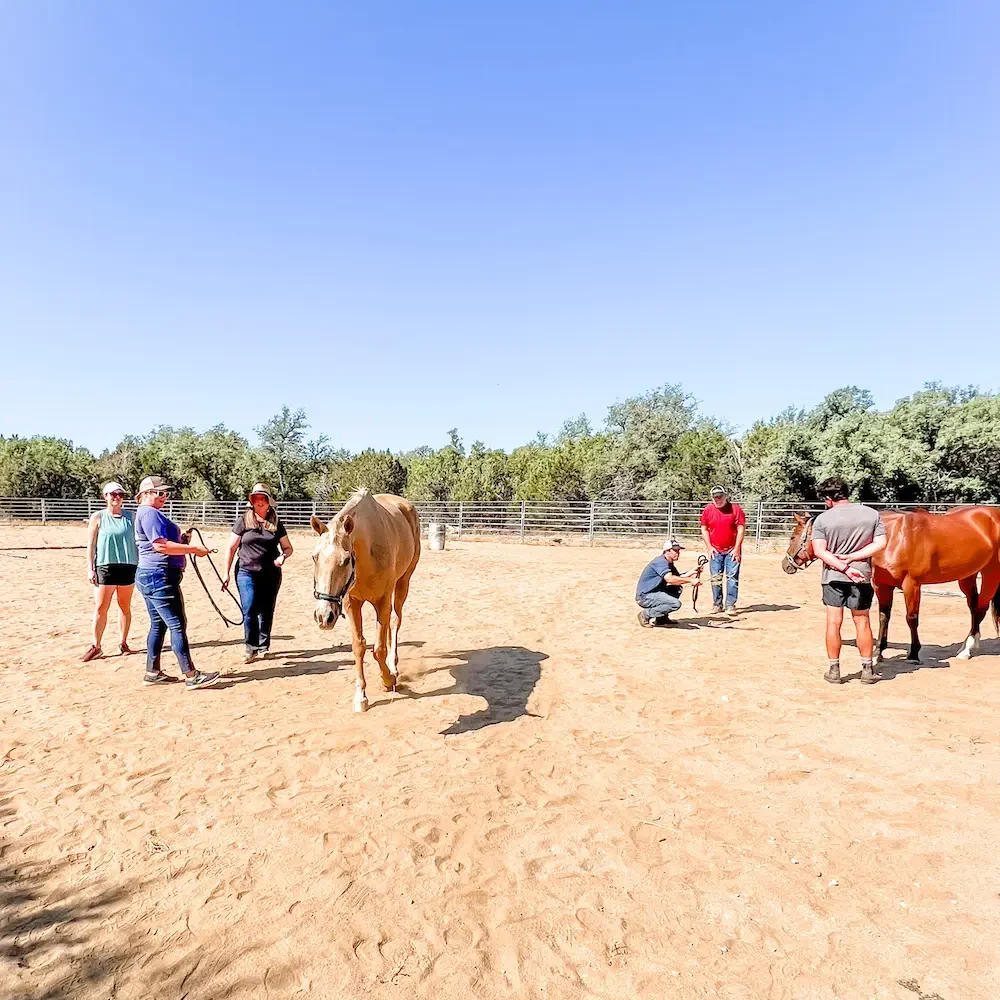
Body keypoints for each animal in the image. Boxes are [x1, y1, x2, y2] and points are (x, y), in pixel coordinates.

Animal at [311, 489, 421, 712]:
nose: (324, 616)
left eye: (345, 560)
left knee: (395, 621)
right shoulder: (351, 603)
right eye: (314, 557)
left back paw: (393, 666)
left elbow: (378, 649)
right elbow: (359, 646)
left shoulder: (382, 600)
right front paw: (360, 696)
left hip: (403, 581)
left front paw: (388, 680)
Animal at [782, 506, 1000, 664]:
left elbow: (911, 618)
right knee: (974, 607)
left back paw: (967, 649)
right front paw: (878, 651)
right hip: (968, 576)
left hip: (991, 574)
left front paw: (914, 654)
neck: (892, 538)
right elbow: (883, 617)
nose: (786, 565)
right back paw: (967, 646)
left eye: (793, 537)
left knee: (980, 607)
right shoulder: (882, 586)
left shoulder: (912, 585)